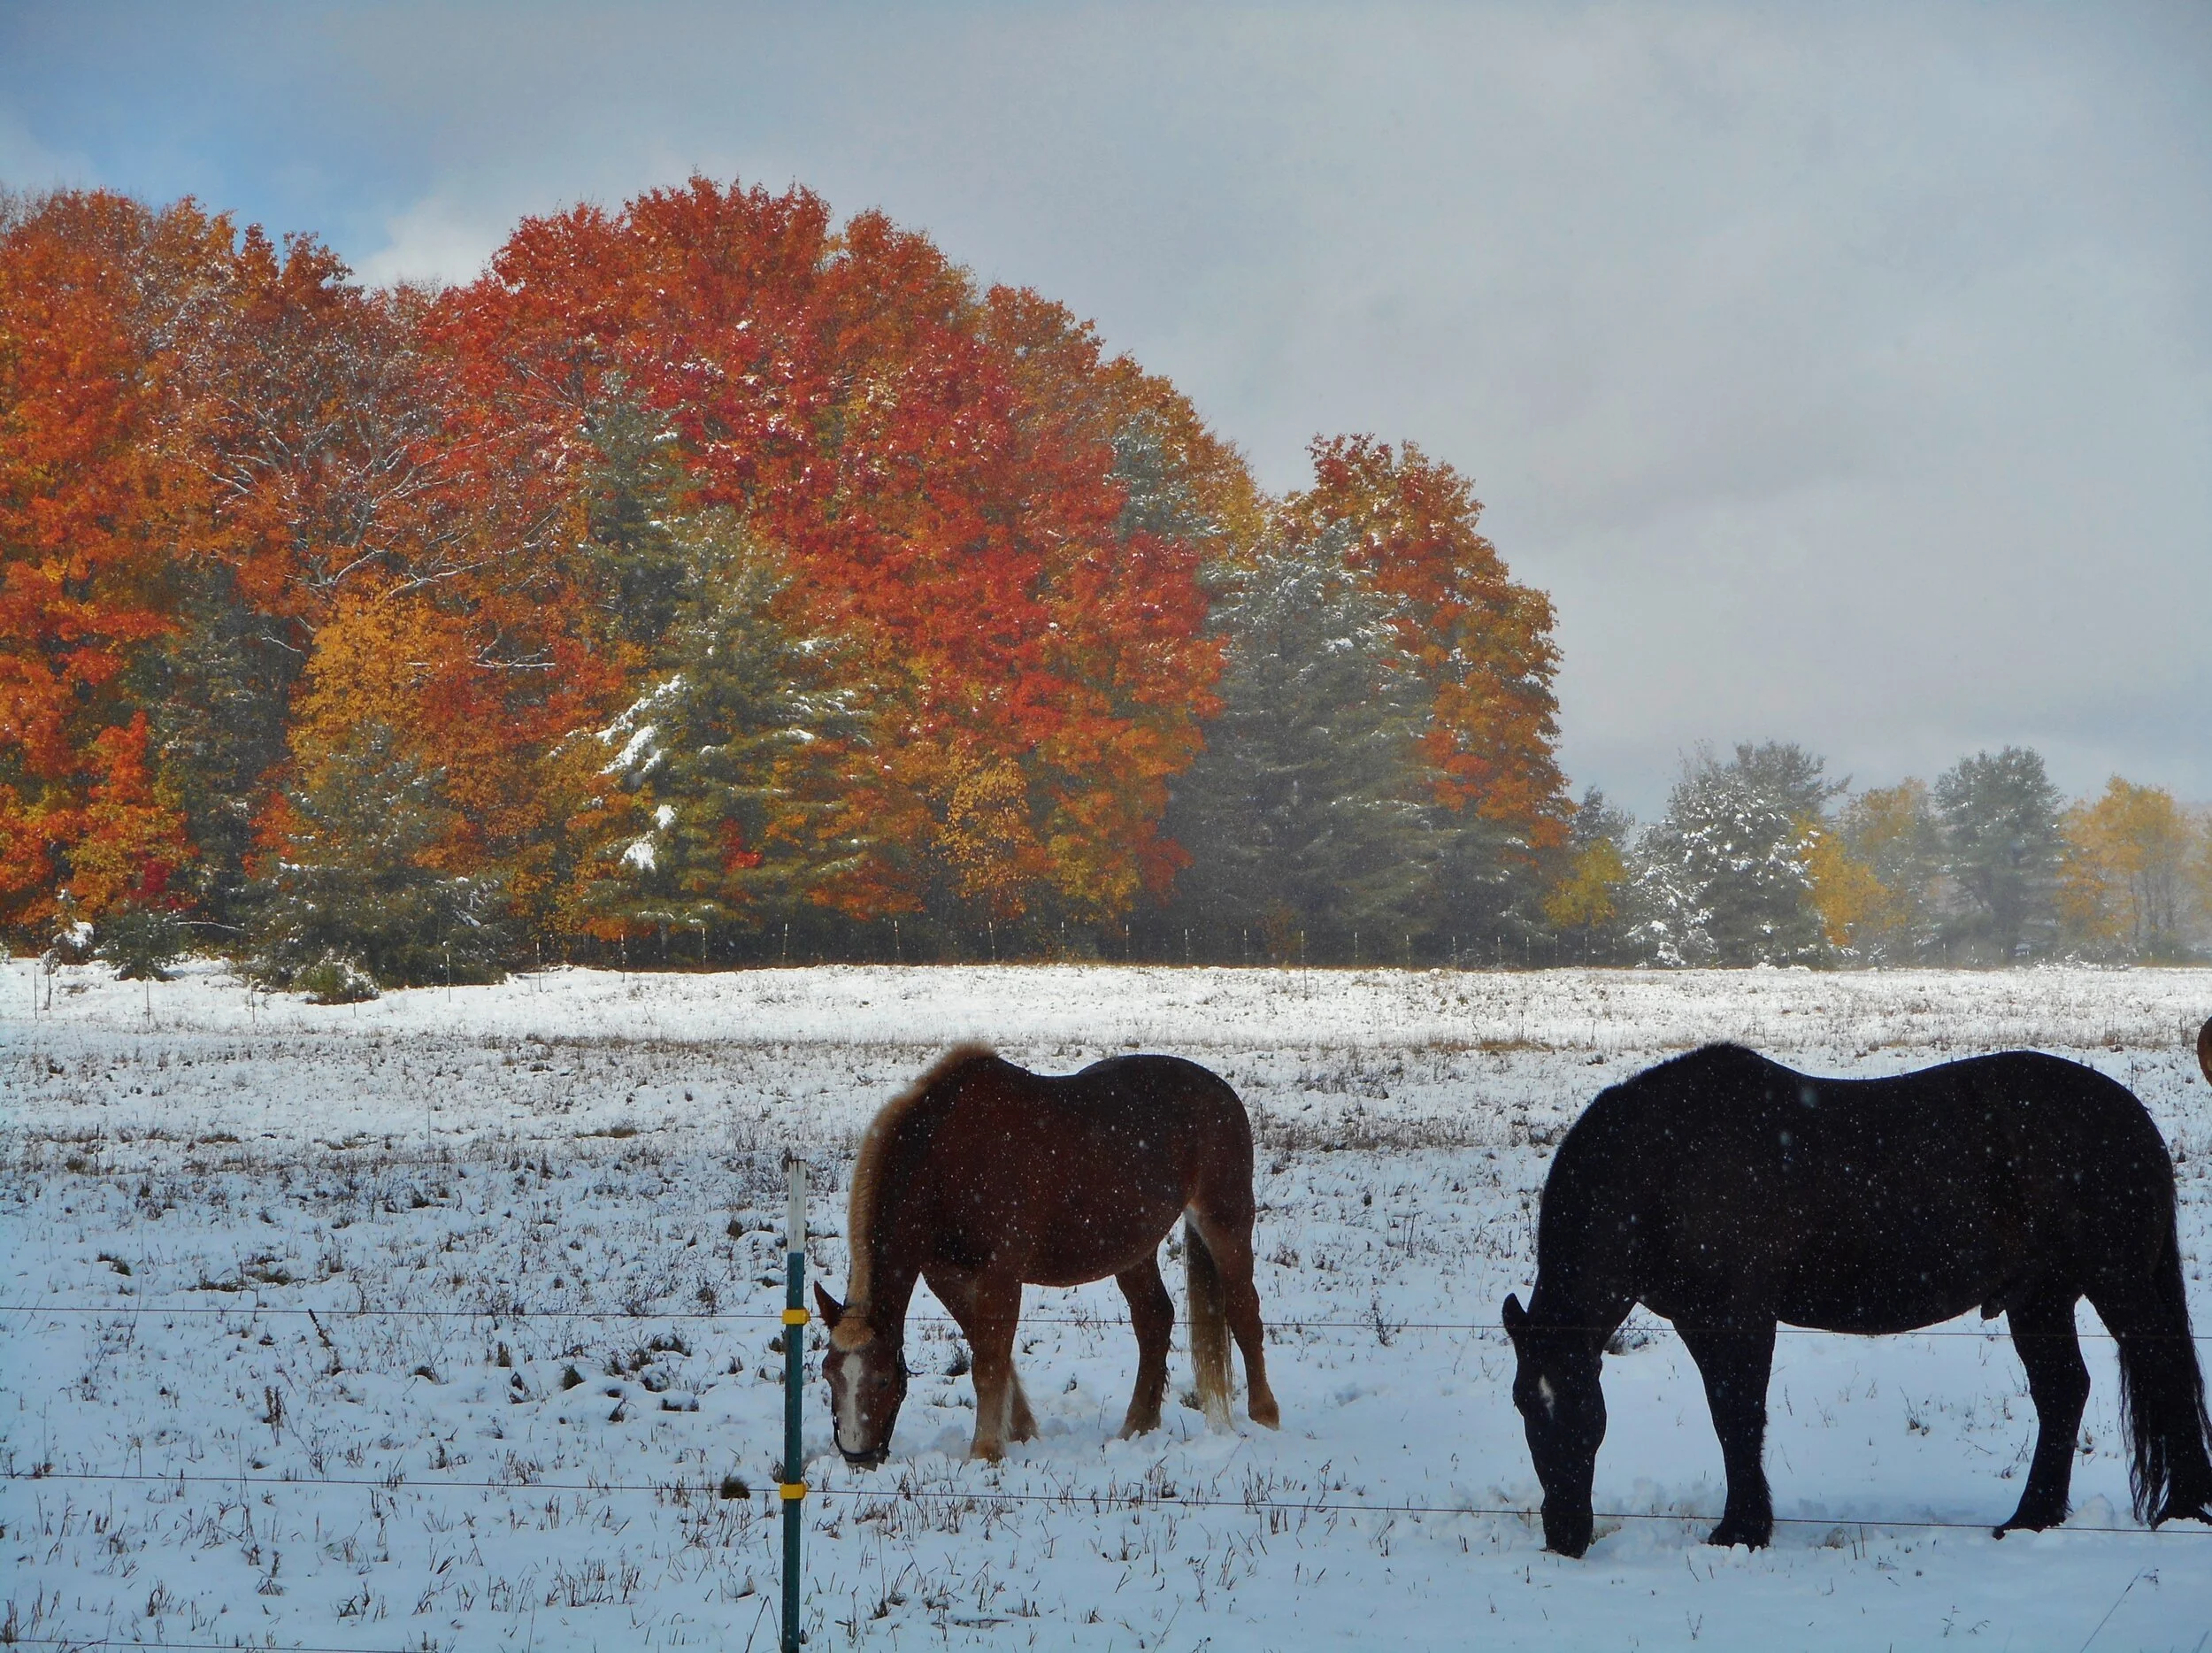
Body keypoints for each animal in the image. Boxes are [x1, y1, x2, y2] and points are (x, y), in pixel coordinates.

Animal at [814, 1045, 1280, 1465]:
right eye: (828, 1373)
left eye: (881, 1380)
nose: (858, 1458)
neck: (946, 1160)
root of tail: (1220, 1090)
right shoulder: (947, 1277)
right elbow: (990, 1352)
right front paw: (1020, 1431)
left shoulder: (1000, 1274)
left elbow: (989, 1363)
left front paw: (985, 1452)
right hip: (1133, 1250)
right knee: (1154, 1320)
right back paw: (1137, 1426)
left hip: (1226, 1222)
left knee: (1244, 1313)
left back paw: (1265, 1416)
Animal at [1502, 1042, 2212, 1558]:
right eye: (1524, 1406)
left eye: (1582, 1406)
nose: (1564, 1536)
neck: (1669, 1162)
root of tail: (2133, 1119)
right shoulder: (1699, 1322)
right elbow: (1728, 1417)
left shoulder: (1741, 1317)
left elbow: (1739, 1417)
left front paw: (1743, 1531)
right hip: (2040, 1298)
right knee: (2064, 1391)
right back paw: (2031, 1519)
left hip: (2116, 1282)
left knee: (2166, 1375)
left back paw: (2181, 1510)